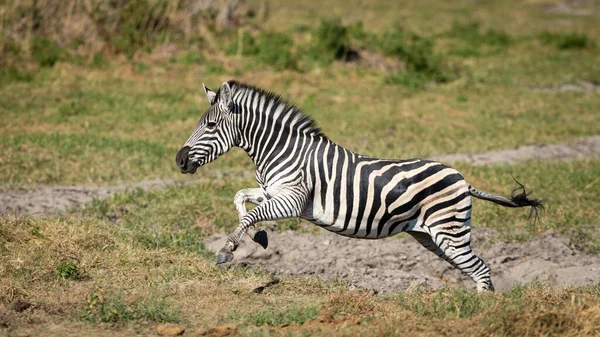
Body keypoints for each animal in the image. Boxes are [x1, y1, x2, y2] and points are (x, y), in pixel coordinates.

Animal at [175, 80, 544, 290]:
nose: (179, 161)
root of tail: (463, 181)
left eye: (210, 125)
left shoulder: (293, 199)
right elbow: (241, 199)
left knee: (481, 269)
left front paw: (228, 249)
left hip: (448, 233)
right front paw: (258, 238)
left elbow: (251, 213)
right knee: (472, 268)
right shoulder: (273, 191)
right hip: (433, 237)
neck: (281, 149)